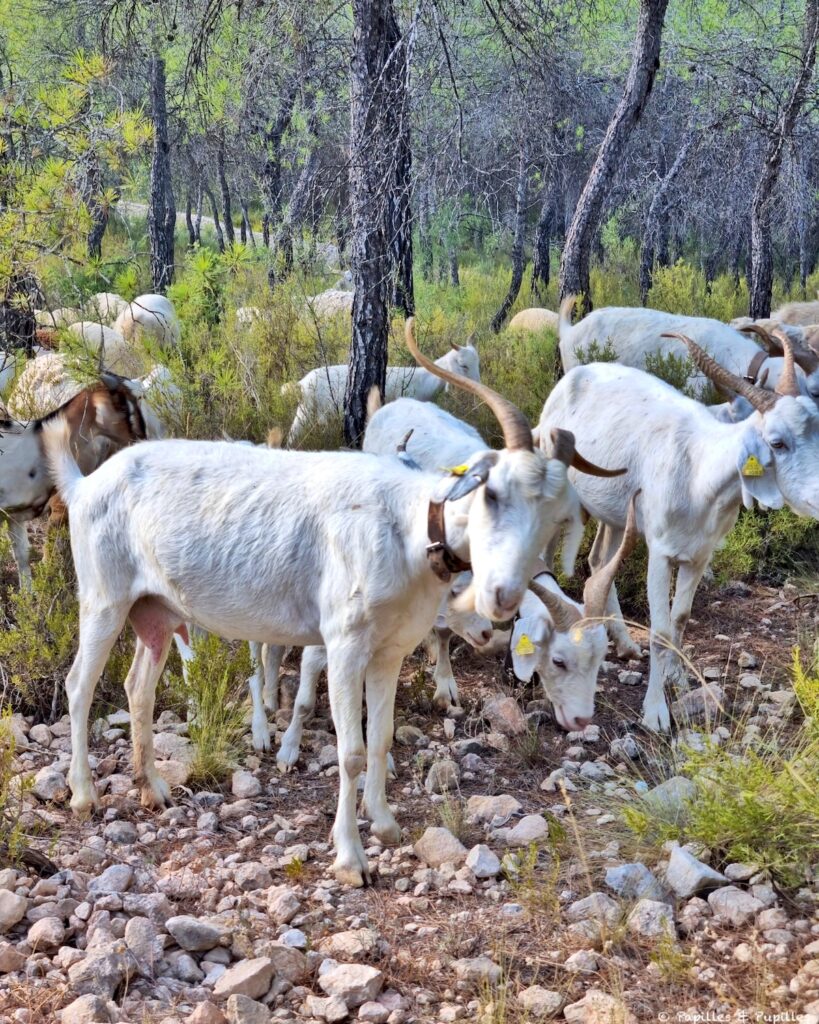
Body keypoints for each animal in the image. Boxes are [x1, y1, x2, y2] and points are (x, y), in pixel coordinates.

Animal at [536, 331, 818, 733]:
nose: (817, 497)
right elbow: (660, 631)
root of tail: (572, 376)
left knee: (599, 559)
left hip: (616, 513)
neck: (698, 471)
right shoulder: (661, 552)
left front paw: (678, 679)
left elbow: (681, 619)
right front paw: (655, 712)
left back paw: (624, 643)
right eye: (777, 443)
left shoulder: (699, 555)